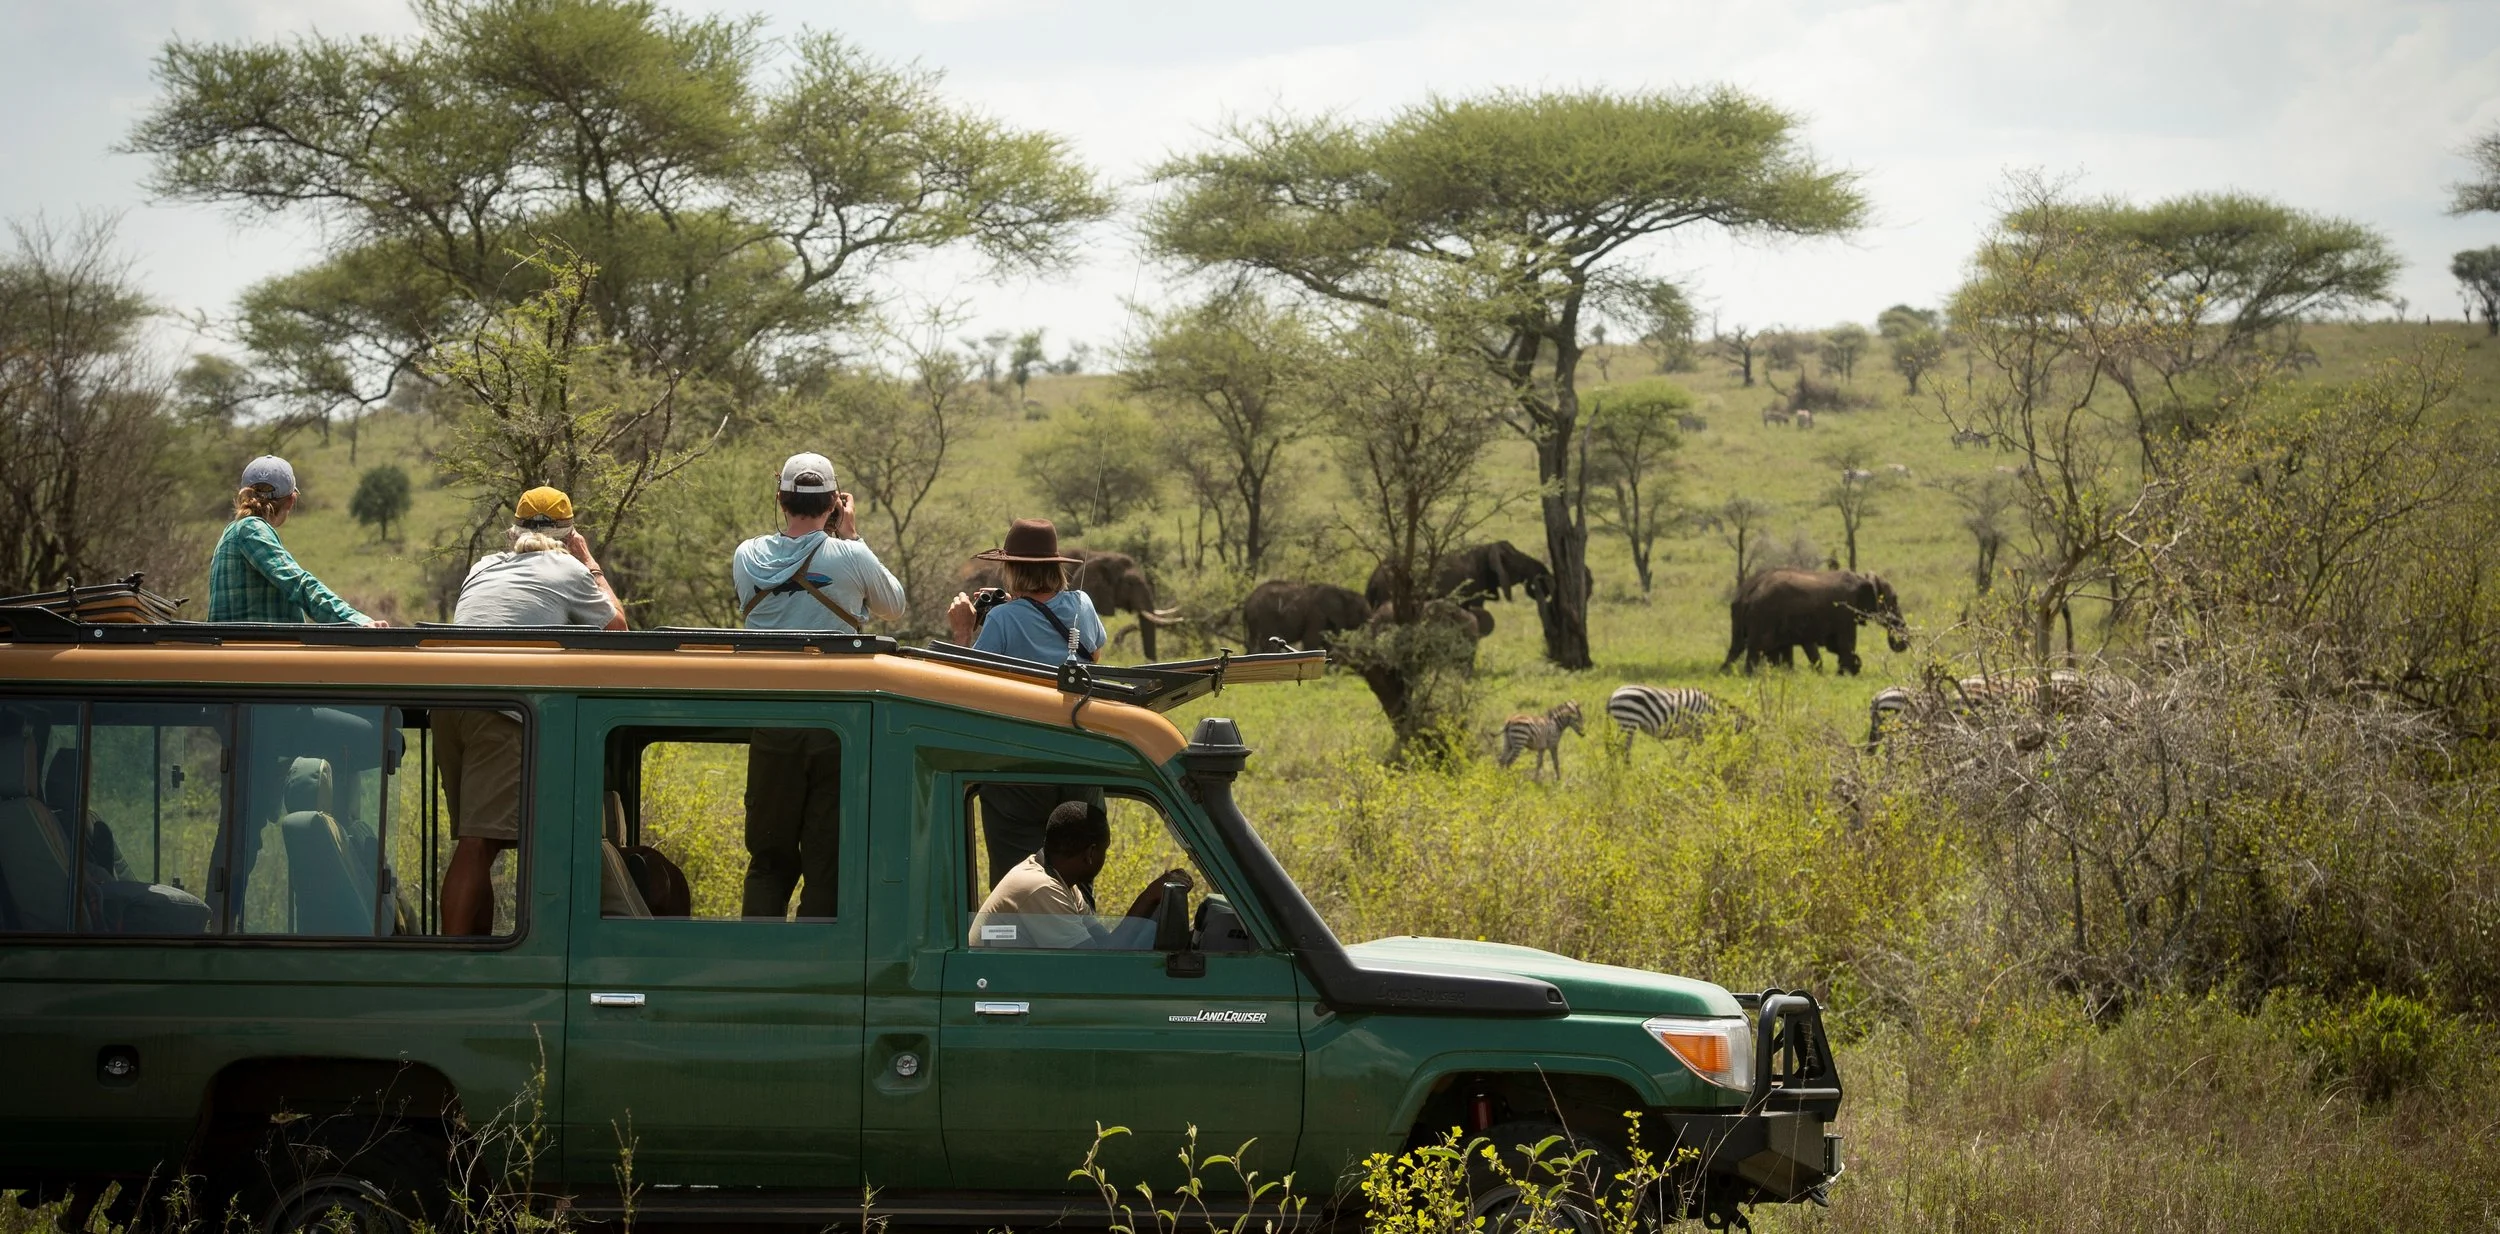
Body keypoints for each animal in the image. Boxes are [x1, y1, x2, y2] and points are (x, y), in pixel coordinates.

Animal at [1242, 580, 1371, 653]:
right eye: (1360, 611)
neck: (1341, 591)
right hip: (1265, 618)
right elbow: (1311, 639)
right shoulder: (1316, 614)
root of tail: (1247, 602)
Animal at [1364, 540, 1554, 610]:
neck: (1487, 547)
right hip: (1389, 592)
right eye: (1518, 563)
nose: (1541, 581)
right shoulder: (1473, 583)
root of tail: (1372, 580)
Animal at [1607, 685, 1745, 754]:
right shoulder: (1698, 730)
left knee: (1616, 748)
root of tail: (1613, 695)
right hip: (1629, 721)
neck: (1711, 712)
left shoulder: (1691, 733)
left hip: (1625, 723)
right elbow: (1698, 751)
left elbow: (1685, 753)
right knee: (1623, 749)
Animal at [1720, 568, 1909, 676]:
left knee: (1737, 646)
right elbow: (1845, 642)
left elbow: (1833, 645)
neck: (1863, 578)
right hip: (1764, 617)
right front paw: (1848, 673)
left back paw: (1726, 672)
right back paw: (1750, 675)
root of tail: (1748, 594)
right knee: (1756, 648)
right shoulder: (1844, 611)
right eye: (1893, 600)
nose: (1899, 643)